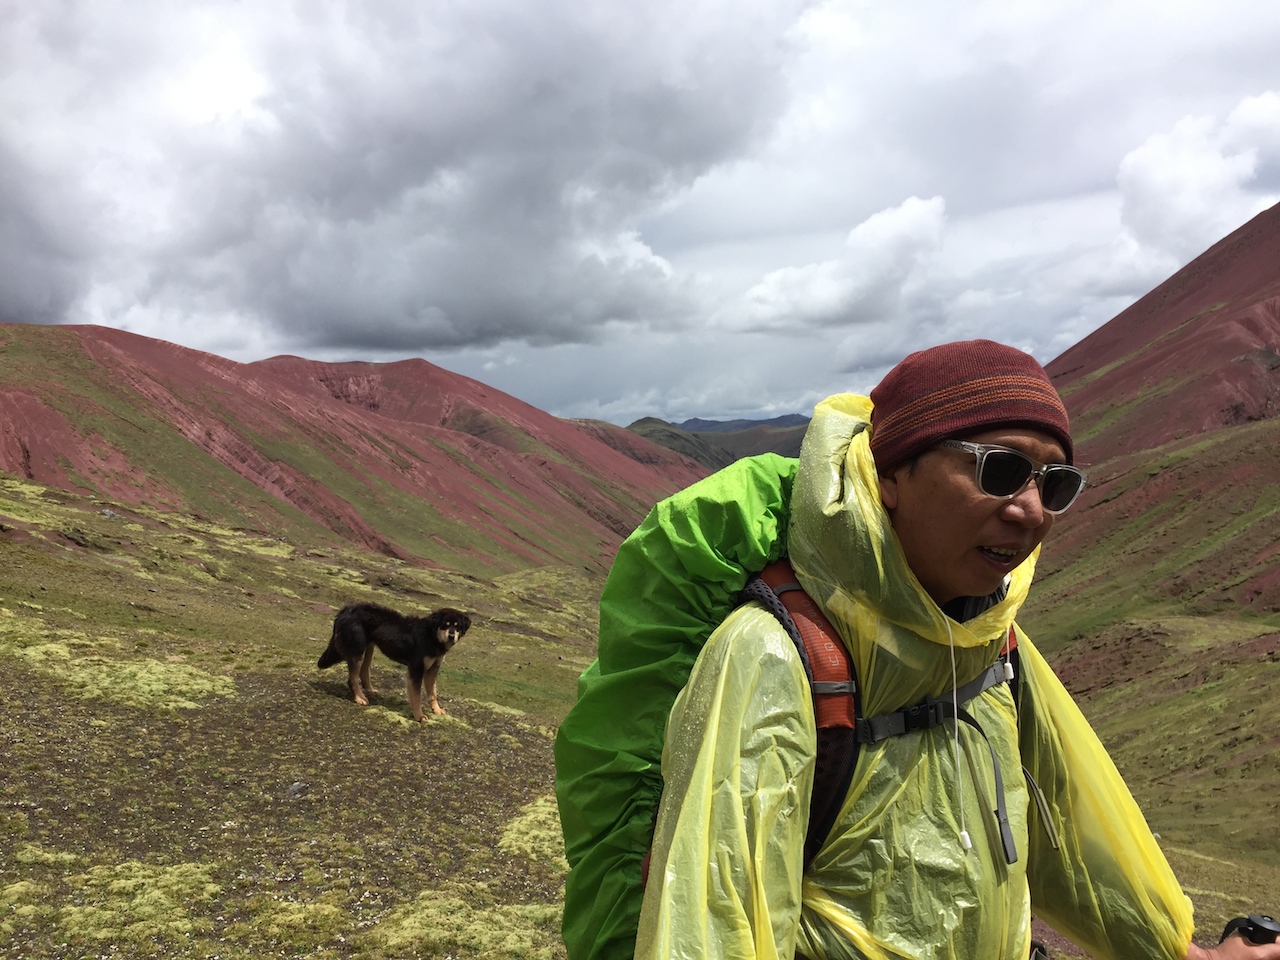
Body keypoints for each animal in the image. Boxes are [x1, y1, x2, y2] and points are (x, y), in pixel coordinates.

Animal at [317, 601, 473, 721]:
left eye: (457, 626)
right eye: (445, 625)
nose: (452, 636)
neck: (432, 636)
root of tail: (345, 609)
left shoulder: (432, 670)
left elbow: (432, 694)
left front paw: (437, 710)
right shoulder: (416, 669)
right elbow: (416, 696)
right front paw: (419, 716)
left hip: (368, 648)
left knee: (363, 671)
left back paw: (370, 690)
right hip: (358, 649)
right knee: (352, 678)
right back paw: (360, 698)